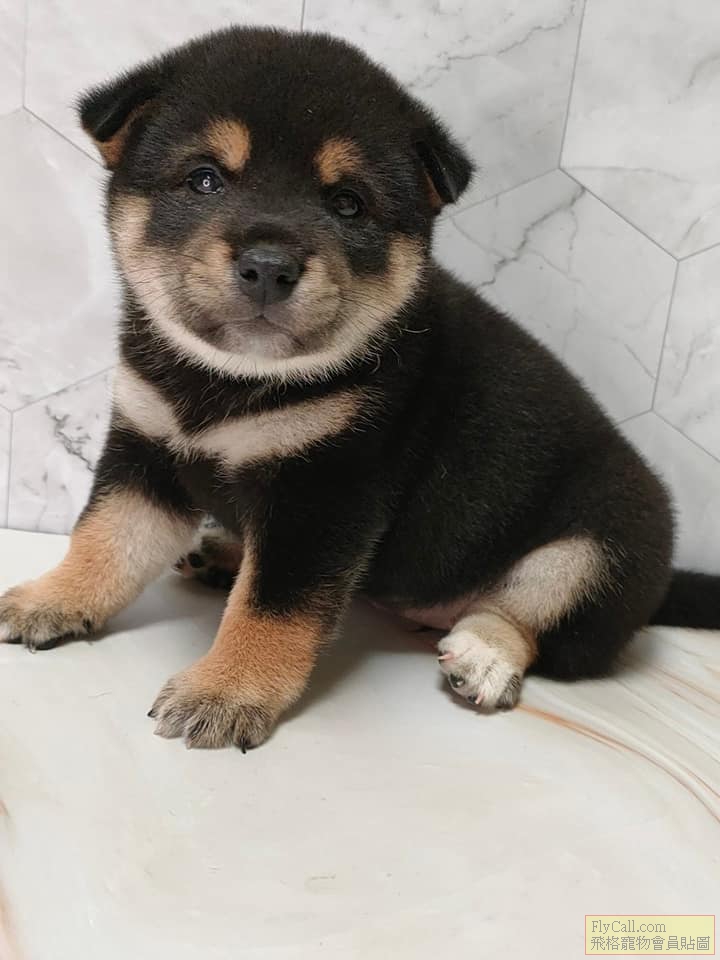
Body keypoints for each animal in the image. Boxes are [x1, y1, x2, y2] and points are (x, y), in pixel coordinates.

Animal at [1, 27, 717, 751]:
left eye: (346, 203)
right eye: (204, 179)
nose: (268, 265)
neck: (231, 381)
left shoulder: (325, 491)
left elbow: (272, 609)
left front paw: (226, 690)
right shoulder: (147, 451)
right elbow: (104, 544)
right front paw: (49, 599)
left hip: (605, 540)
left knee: (528, 619)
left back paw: (485, 656)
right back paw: (226, 551)